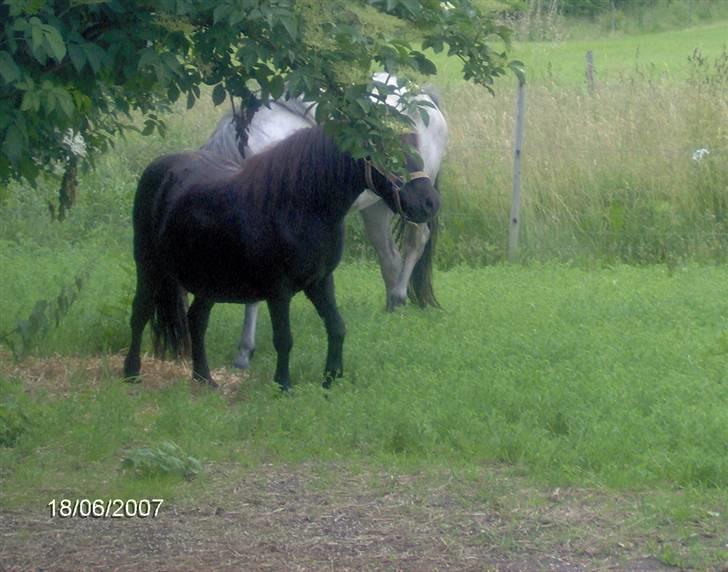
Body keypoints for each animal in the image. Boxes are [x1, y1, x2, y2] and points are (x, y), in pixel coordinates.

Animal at [123, 125, 440, 392]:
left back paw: (204, 378)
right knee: (140, 312)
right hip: (149, 266)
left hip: (209, 279)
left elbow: (337, 327)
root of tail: (160, 167)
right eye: (391, 153)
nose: (430, 204)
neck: (299, 206)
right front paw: (283, 385)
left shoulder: (320, 282)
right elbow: (284, 338)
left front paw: (331, 380)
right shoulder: (279, 290)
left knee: (197, 319)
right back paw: (132, 373)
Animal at [200, 73, 450, 368]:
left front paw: (244, 351)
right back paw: (392, 306)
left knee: (415, 242)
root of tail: (424, 95)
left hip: (409, 208)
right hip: (377, 206)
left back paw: (399, 296)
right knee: (389, 256)